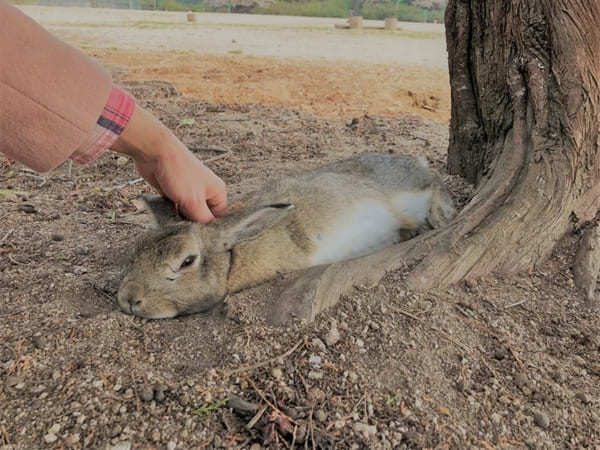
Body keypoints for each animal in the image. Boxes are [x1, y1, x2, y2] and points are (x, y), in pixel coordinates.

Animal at [117, 153, 454, 318]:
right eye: (136, 250)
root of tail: (415, 162)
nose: (129, 299)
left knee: (436, 185)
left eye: (186, 261)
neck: (234, 255)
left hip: (410, 192)